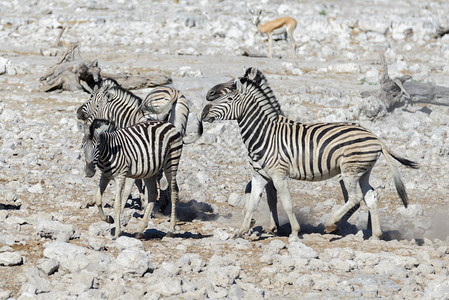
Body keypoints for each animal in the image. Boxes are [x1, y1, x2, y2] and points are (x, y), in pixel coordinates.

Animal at [201, 67, 418, 239]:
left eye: (229, 96)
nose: (203, 111)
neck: (264, 133)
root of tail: (375, 137)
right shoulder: (259, 176)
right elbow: (252, 203)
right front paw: (242, 230)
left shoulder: (279, 175)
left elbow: (287, 203)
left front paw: (295, 232)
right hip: (362, 172)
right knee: (370, 196)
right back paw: (375, 235)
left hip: (349, 171)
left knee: (355, 198)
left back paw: (332, 224)